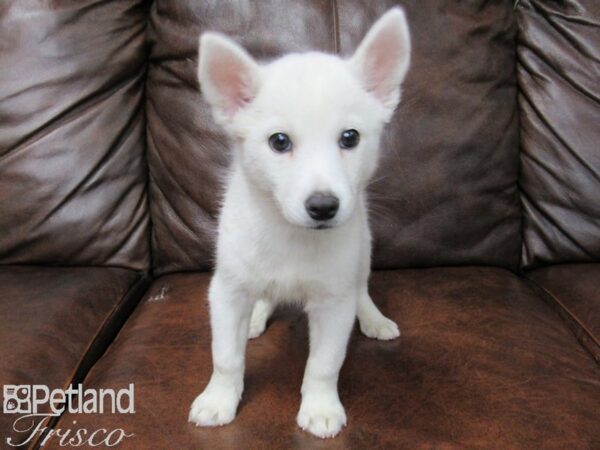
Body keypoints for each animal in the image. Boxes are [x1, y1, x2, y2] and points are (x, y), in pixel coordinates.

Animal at [190, 7, 410, 440]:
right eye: (279, 142)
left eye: (349, 137)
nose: (323, 206)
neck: (289, 235)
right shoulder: (226, 292)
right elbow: (225, 357)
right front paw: (219, 399)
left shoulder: (334, 303)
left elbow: (324, 364)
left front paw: (320, 408)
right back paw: (257, 316)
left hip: (364, 250)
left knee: (362, 288)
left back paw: (373, 318)